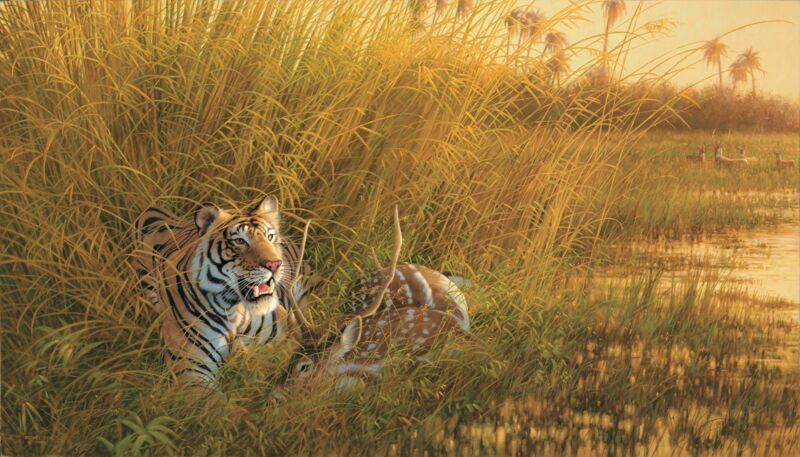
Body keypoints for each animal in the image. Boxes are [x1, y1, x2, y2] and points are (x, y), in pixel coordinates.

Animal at [132, 196, 315, 391]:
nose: (275, 264)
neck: (236, 311)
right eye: (240, 241)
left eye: (270, 237)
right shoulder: (191, 367)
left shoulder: (287, 333)